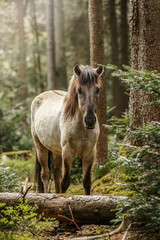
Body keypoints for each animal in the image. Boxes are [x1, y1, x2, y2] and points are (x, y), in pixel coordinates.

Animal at [31, 64, 104, 195]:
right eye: (79, 90)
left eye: (98, 89)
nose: (90, 120)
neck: (81, 129)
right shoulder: (67, 153)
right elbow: (65, 182)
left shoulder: (90, 154)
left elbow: (86, 182)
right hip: (40, 146)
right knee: (45, 174)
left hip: (57, 150)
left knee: (56, 171)